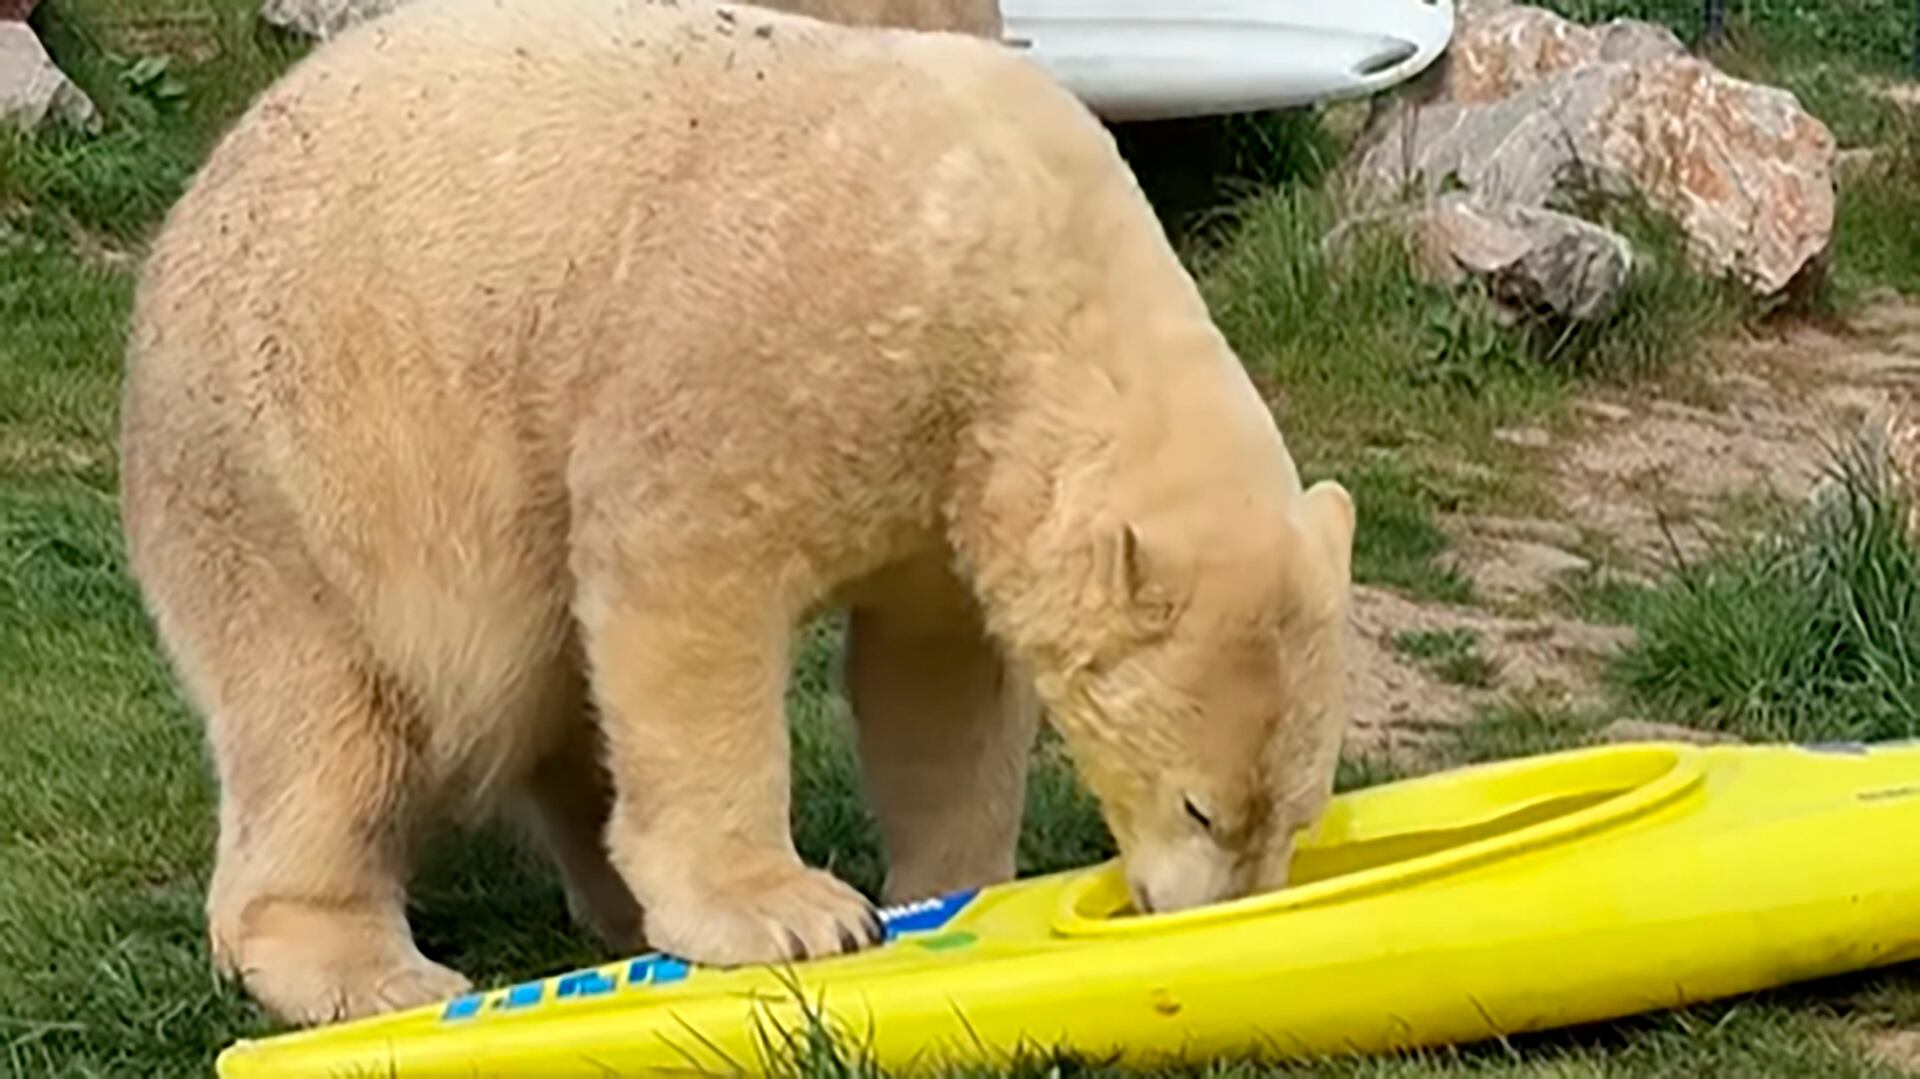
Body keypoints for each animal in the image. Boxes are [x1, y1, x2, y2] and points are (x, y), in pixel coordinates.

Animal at [118, 0, 1357, 1026]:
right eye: (1200, 807)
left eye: (1297, 812)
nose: (1210, 914)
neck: (1018, 250)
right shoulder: (784, 346)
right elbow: (688, 587)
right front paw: (790, 910)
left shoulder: (949, 477)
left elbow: (934, 680)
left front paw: (955, 889)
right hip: (295, 463)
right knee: (331, 719)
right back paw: (366, 968)